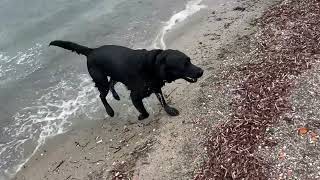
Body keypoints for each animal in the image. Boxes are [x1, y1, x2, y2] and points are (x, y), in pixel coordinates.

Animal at [48, 40, 202, 119]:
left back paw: (115, 96)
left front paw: (169, 110)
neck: (153, 66)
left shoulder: (155, 86)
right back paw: (110, 111)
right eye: (184, 65)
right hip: (101, 80)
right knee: (102, 96)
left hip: (115, 74)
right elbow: (145, 111)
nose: (201, 71)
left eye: (189, 60)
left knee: (112, 83)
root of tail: (91, 50)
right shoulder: (135, 96)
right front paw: (142, 116)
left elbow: (162, 100)